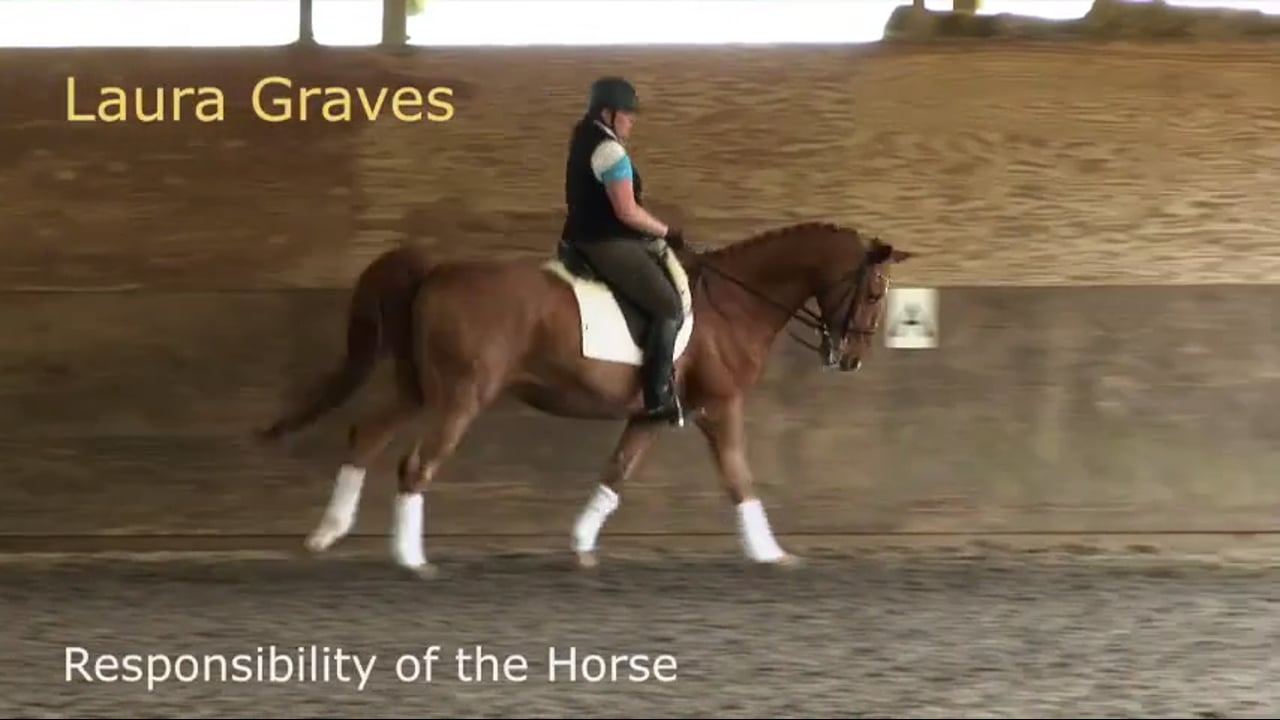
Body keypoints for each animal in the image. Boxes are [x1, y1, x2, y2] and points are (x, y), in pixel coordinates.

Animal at [258, 220, 914, 578]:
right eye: (875, 290)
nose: (851, 359)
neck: (734, 304)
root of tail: (436, 270)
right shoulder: (720, 407)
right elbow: (738, 478)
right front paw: (769, 552)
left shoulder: (652, 413)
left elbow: (617, 471)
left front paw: (580, 546)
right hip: (461, 396)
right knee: (415, 464)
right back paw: (411, 560)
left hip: (420, 387)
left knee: (365, 435)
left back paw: (327, 534)